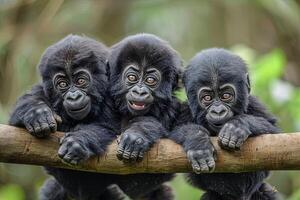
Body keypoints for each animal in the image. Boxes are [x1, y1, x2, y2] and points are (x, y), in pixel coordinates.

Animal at [8, 35, 125, 199]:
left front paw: (77, 142)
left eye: (81, 81)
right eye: (63, 84)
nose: (73, 96)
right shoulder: (45, 89)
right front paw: (36, 113)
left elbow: (108, 128)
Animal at [172, 48, 280, 200]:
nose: (218, 111)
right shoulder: (184, 111)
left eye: (226, 96)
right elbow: (172, 132)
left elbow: (275, 138)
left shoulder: (255, 104)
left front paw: (237, 126)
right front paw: (198, 143)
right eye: (207, 98)